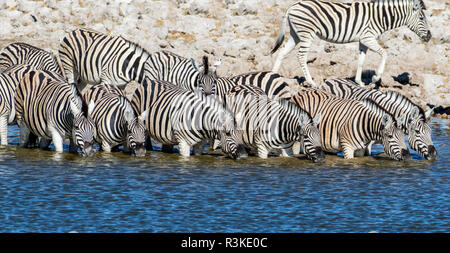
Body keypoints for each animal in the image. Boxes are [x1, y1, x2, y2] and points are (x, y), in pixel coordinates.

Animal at [59, 28, 217, 93]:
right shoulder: (105, 80)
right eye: (197, 82)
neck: (129, 66)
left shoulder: (121, 85)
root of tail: (74, 31)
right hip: (69, 66)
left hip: (82, 76)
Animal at [270, 0, 432, 87]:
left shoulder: (363, 41)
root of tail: (292, 6)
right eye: (422, 18)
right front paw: (375, 78)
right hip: (306, 33)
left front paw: (359, 82)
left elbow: (361, 61)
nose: (430, 37)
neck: (381, 17)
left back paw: (272, 76)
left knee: (282, 52)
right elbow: (385, 53)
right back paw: (311, 82)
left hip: (296, 34)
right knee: (301, 56)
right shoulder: (368, 38)